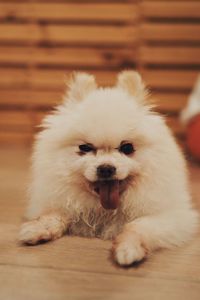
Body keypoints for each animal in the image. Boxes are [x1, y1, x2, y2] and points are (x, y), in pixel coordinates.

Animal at [19, 71, 198, 266]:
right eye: (85, 148)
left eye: (127, 148)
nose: (106, 168)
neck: (104, 212)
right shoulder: (62, 203)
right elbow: (52, 215)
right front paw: (38, 228)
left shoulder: (173, 217)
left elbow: (137, 225)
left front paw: (128, 248)